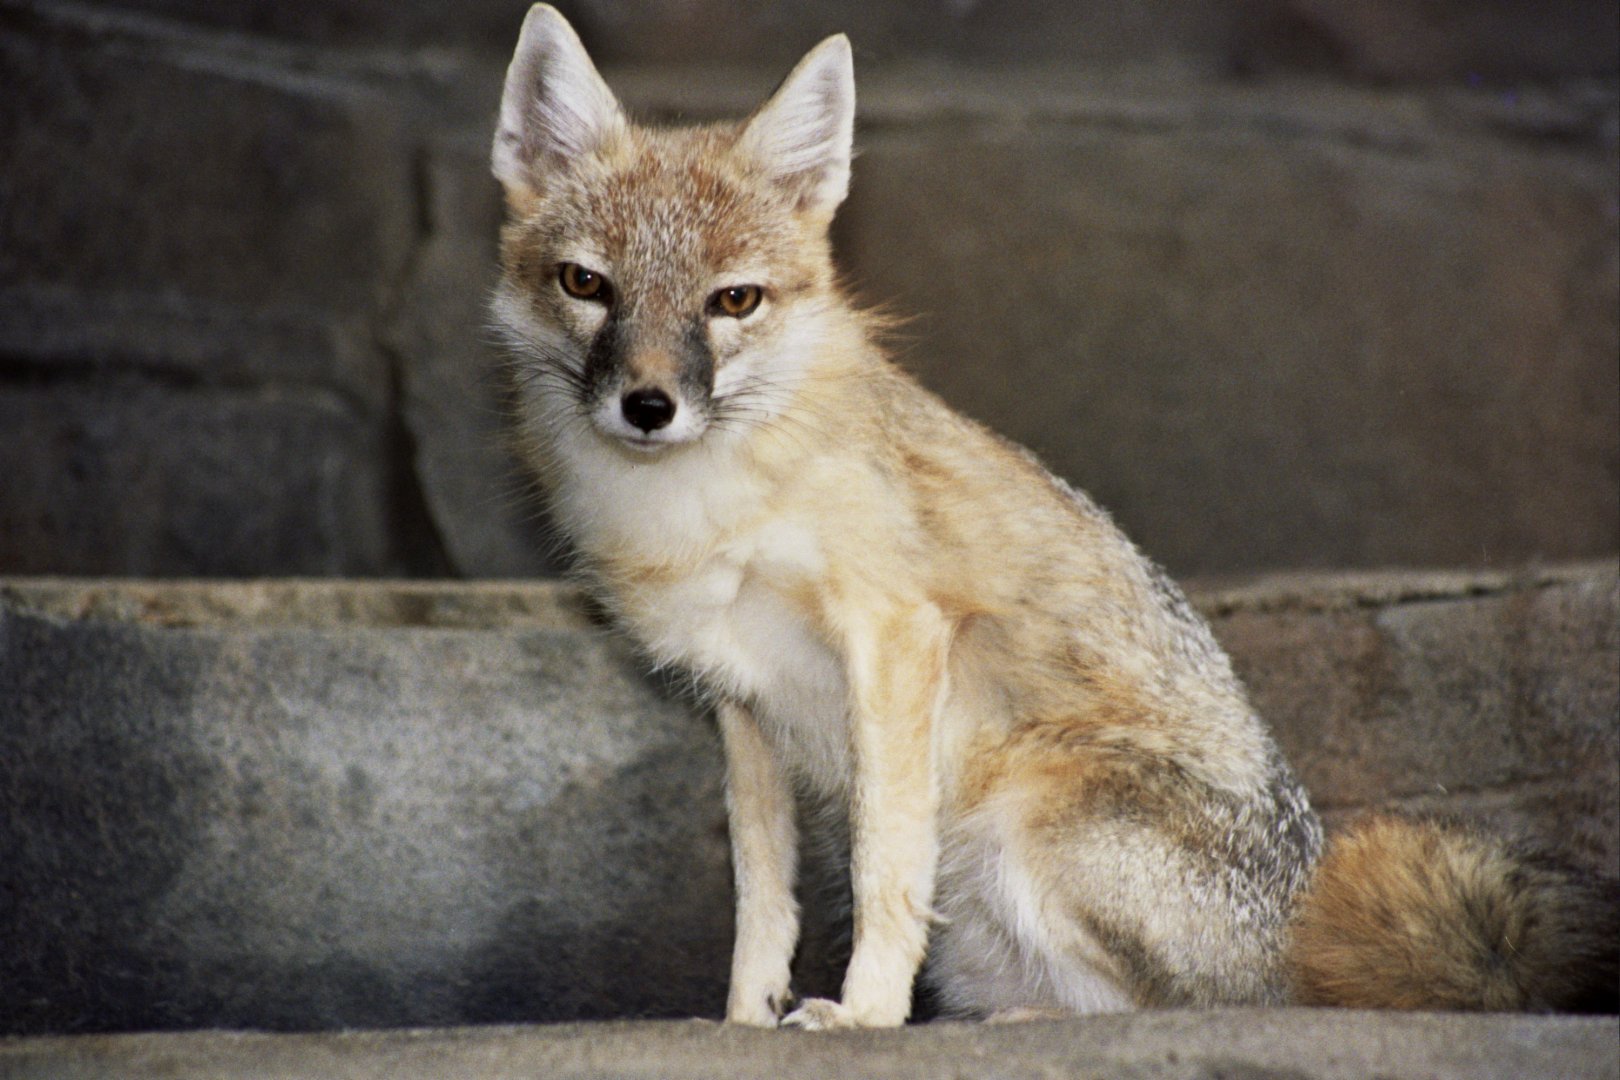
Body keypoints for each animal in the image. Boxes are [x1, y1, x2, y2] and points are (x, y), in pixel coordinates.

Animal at [488, 5, 1619, 1028]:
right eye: (587, 285)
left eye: (733, 301)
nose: (648, 406)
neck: (704, 504)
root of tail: (1300, 943)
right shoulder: (744, 703)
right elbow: (762, 896)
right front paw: (741, 1019)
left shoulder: (895, 637)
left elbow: (881, 865)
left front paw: (863, 1016)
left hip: (1018, 809)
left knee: (1183, 1008)